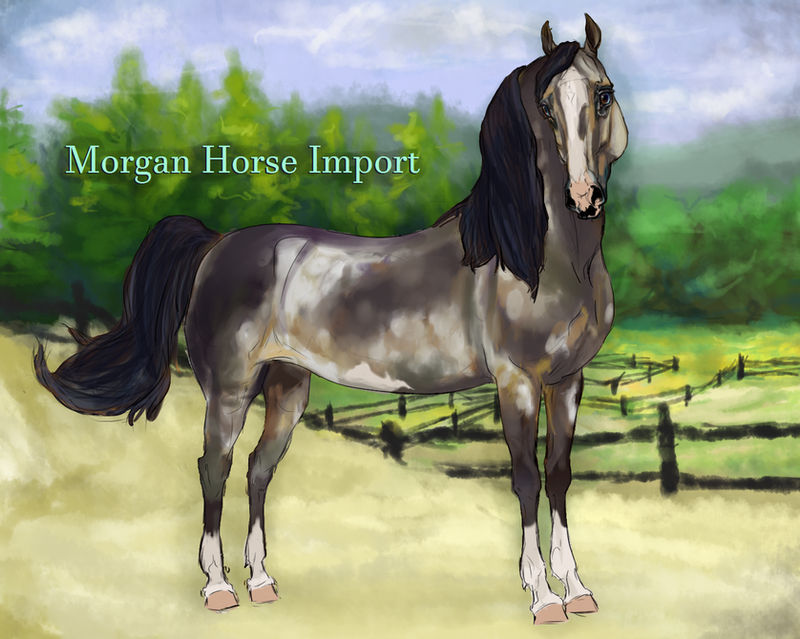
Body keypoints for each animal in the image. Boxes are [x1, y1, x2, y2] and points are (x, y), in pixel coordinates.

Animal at [34, 14, 627, 624]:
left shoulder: (568, 381)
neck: (534, 259)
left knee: (258, 468)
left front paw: (577, 589)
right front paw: (543, 598)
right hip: (229, 390)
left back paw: (262, 582)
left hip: (288, 388)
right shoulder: (517, 383)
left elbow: (559, 475)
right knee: (215, 467)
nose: (584, 196)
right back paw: (219, 588)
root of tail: (216, 243)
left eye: (603, 95)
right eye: (546, 106)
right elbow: (527, 478)